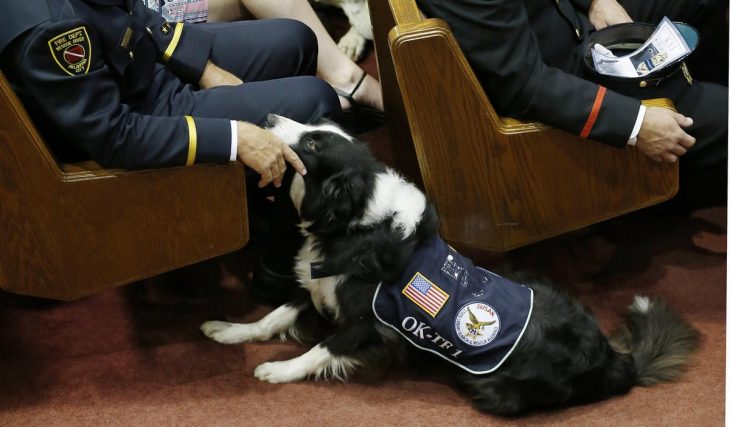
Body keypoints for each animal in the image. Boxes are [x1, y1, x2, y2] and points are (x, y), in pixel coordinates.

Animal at [198, 115, 692, 416]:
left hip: (491, 385)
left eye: (315, 141)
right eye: (317, 128)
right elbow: (271, 318)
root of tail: (615, 360)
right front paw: (227, 330)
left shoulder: (366, 324)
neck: (354, 222)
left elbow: (321, 350)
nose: (267, 119)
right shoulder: (317, 286)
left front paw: (277, 371)